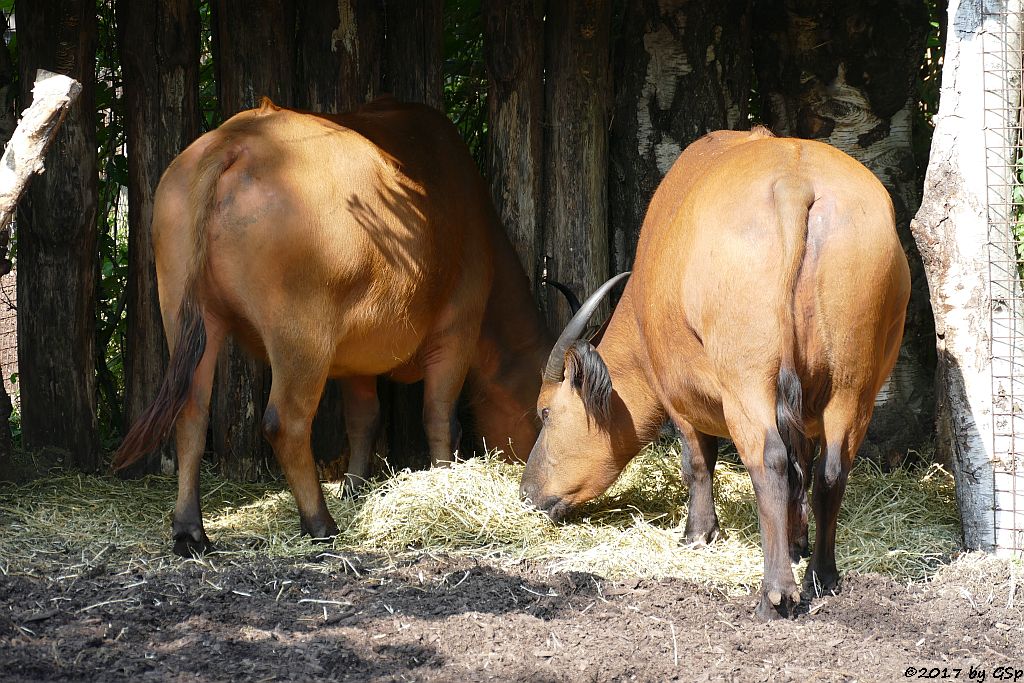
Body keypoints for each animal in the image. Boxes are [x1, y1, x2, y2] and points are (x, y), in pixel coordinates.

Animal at [114, 96, 552, 557]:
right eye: (542, 414)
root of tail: (238, 138)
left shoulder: (356, 359)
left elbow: (364, 419)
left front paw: (355, 487)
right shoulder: (457, 330)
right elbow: (439, 418)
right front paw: (441, 483)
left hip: (189, 314)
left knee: (191, 412)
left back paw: (190, 531)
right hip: (301, 337)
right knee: (284, 421)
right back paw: (320, 523)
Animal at [524, 126, 909, 618]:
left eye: (545, 412)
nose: (527, 492)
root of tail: (795, 184)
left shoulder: (677, 394)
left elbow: (697, 462)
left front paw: (697, 533)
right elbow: (804, 466)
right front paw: (796, 542)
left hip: (749, 382)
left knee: (770, 458)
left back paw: (776, 592)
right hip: (854, 386)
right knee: (831, 471)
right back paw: (821, 575)